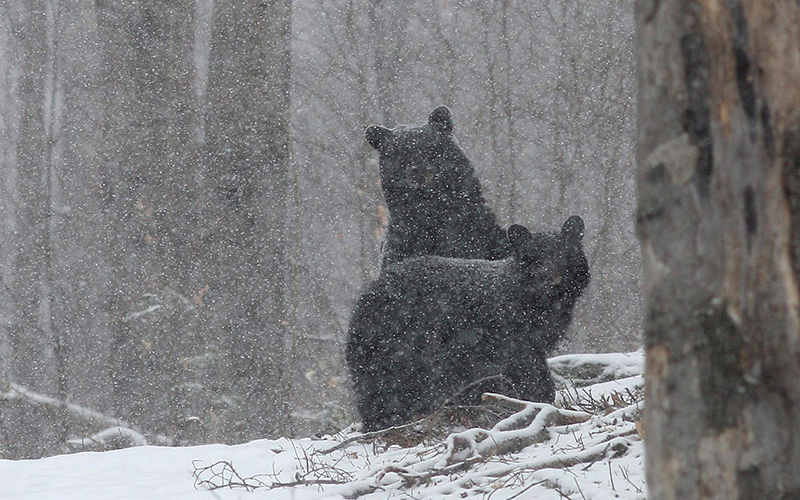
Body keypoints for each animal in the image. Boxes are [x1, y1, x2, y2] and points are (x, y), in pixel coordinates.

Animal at [346, 216, 590, 431]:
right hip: (400, 351)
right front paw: (537, 401)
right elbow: (529, 371)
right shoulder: (512, 337)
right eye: (534, 258)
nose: (551, 278)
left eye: (563, 254)